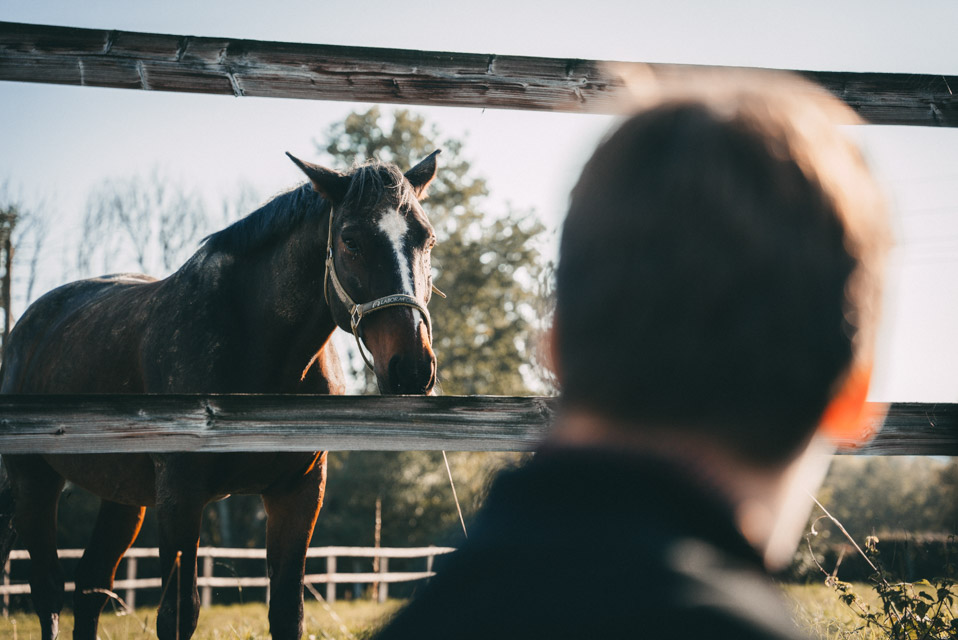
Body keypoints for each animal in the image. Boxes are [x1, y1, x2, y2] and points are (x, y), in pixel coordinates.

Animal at [0, 151, 444, 640]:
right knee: (49, 590)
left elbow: (287, 612)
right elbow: (179, 614)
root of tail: (26, 326)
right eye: (350, 240)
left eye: (427, 239)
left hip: (122, 498)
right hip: (34, 482)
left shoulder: (299, 493)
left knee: (90, 586)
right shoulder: (180, 496)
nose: (413, 368)